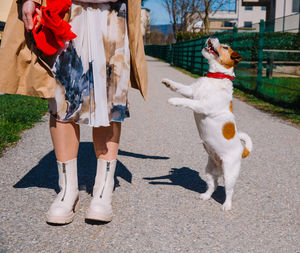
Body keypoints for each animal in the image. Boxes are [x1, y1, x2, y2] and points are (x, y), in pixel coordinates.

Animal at [163, 38, 252, 211]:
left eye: (225, 47)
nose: (212, 37)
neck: (215, 78)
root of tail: (242, 150)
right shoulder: (190, 91)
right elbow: (180, 87)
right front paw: (168, 83)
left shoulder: (202, 105)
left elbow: (187, 101)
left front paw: (174, 101)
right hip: (209, 171)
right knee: (213, 185)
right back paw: (205, 196)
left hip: (230, 175)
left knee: (229, 191)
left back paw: (226, 205)